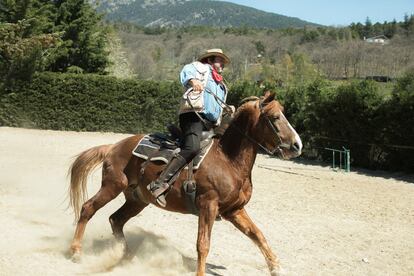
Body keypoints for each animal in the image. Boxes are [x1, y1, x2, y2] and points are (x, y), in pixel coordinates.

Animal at [67, 92, 300, 276]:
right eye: (275, 117)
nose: (297, 145)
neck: (228, 159)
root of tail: (114, 146)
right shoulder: (208, 205)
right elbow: (203, 245)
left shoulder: (234, 210)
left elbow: (257, 235)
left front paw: (276, 267)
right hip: (112, 186)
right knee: (88, 208)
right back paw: (76, 251)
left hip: (137, 200)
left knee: (116, 220)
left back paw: (126, 256)